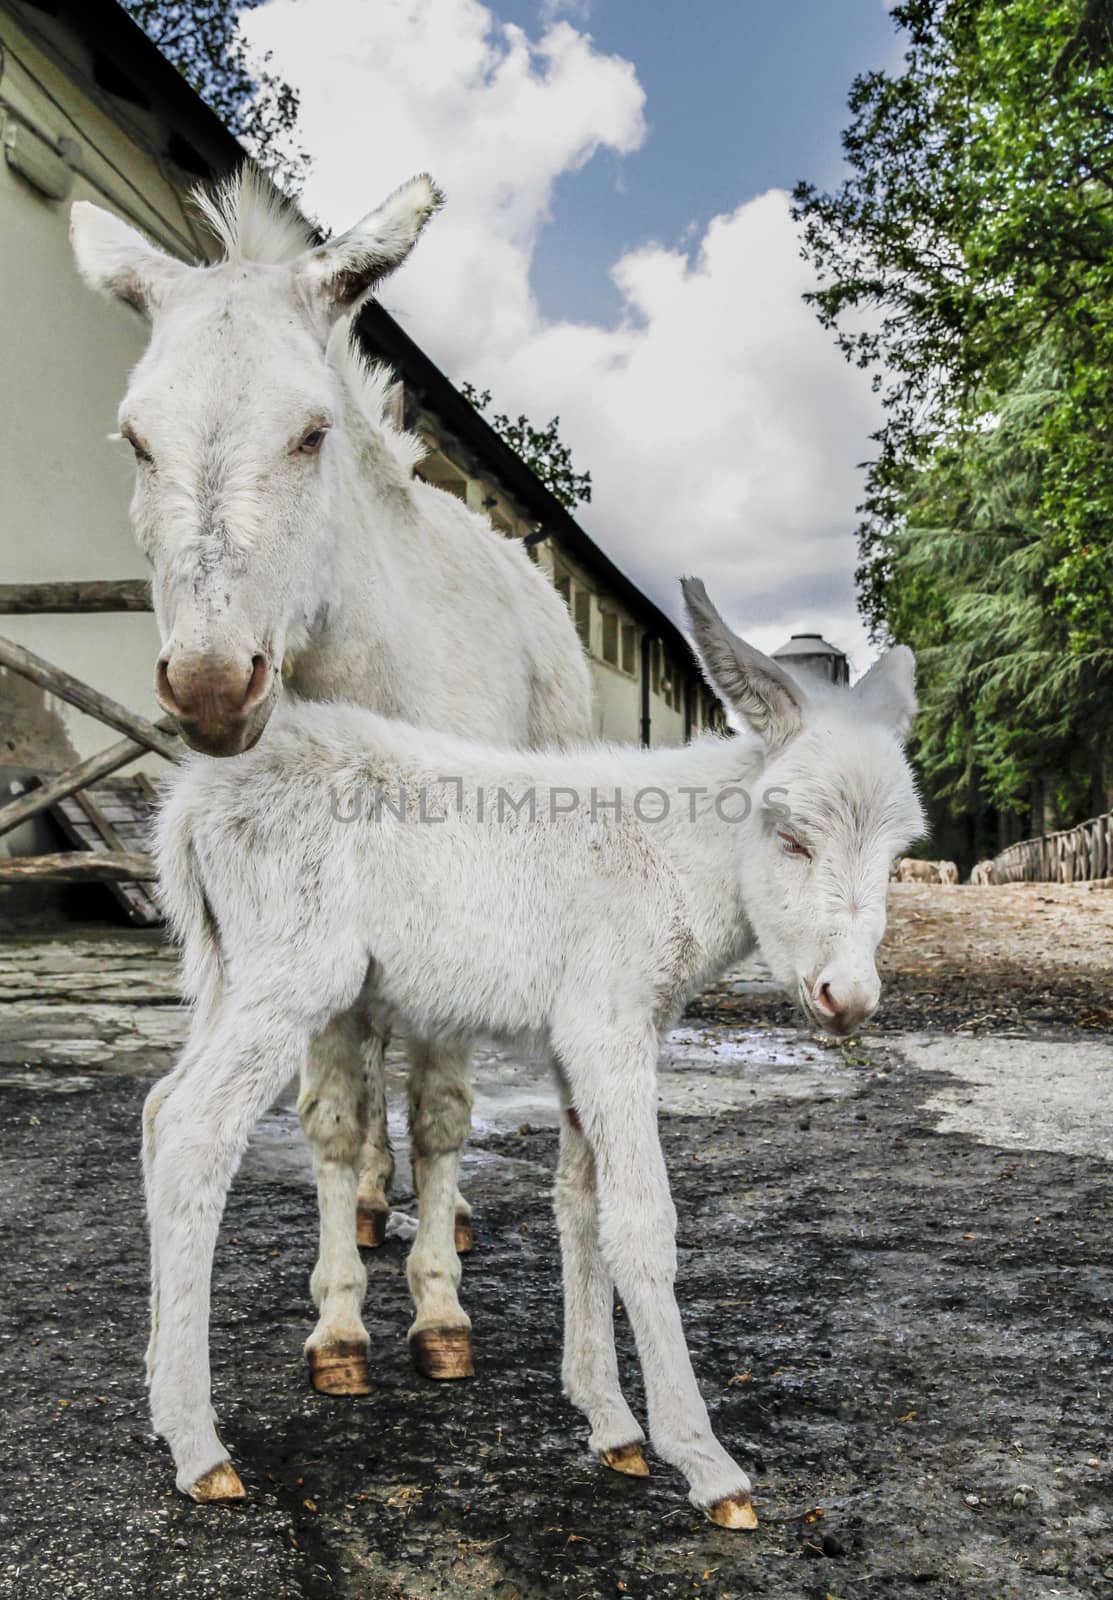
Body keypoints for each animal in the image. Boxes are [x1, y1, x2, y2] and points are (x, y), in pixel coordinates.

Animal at [143, 579, 921, 1523]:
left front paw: (609, 1421)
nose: (850, 1001)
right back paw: (197, 1445)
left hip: (232, 976)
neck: (678, 858)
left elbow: (578, 1207)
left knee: (158, 1109)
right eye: (793, 838)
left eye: (898, 854)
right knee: (195, 1130)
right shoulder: (609, 1027)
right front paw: (702, 1459)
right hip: (291, 979)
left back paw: (159, 1395)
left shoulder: (577, 1041)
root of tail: (194, 796)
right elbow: (641, 1222)